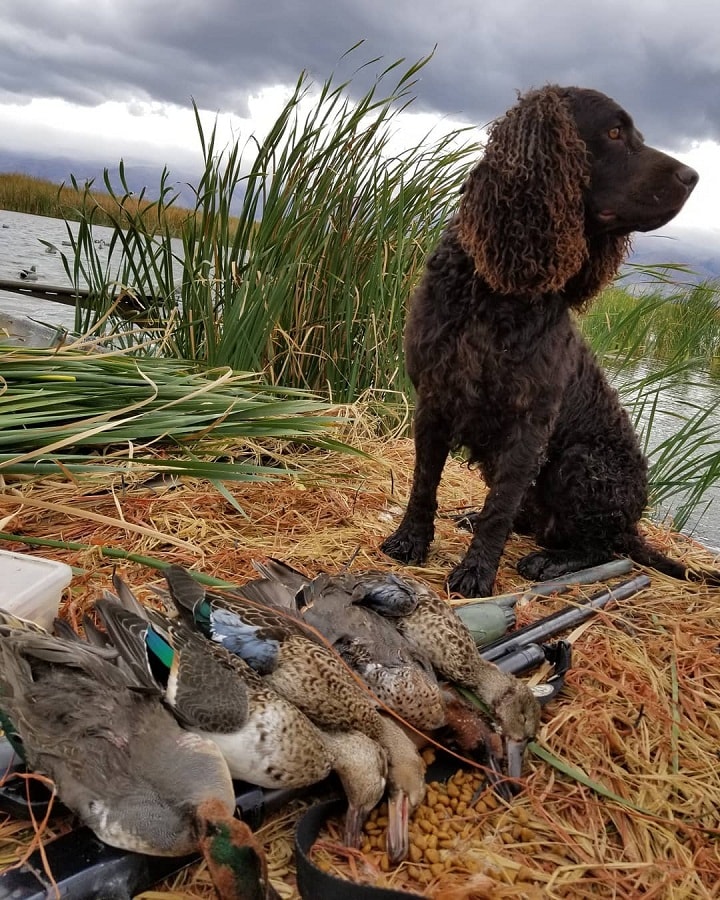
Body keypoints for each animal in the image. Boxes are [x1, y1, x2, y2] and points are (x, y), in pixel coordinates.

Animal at [382, 84, 716, 596]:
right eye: (615, 132)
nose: (694, 176)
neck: (496, 294)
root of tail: (633, 524)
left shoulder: (530, 422)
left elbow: (498, 511)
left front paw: (476, 573)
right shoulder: (434, 400)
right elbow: (424, 484)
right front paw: (409, 542)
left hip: (582, 462)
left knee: (600, 547)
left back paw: (552, 562)